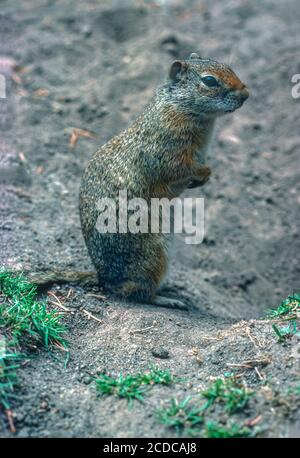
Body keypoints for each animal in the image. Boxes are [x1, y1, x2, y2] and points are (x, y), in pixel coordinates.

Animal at [28, 52, 250, 308]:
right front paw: (203, 174)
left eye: (228, 66)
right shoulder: (170, 153)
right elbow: (183, 168)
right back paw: (167, 299)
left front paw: (204, 178)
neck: (178, 107)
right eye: (210, 81)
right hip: (154, 255)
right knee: (138, 292)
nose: (246, 94)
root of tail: (104, 279)